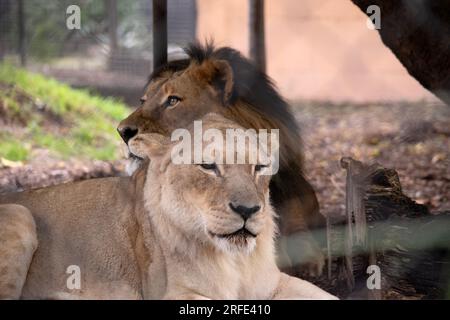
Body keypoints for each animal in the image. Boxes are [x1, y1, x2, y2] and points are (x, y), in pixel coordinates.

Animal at [0, 114, 334, 300]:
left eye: (260, 167)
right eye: (208, 166)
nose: (248, 210)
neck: (235, 261)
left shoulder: (272, 284)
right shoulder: (173, 293)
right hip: (20, 214)